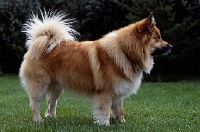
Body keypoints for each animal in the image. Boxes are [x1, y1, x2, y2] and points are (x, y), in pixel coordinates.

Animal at [19, 10, 172, 125]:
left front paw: (121, 122)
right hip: (40, 85)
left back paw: (51, 118)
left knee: (51, 102)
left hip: (57, 87)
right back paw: (38, 121)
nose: (171, 46)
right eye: (158, 37)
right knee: (35, 104)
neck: (126, 52)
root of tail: (41, 41)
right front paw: (105, 124)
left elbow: (119, 109)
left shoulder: (118, 91)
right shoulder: (105, 92)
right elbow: (104, 110)